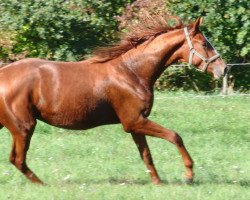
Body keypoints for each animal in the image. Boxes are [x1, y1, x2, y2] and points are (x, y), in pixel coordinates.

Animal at [0, 16, 227, 184]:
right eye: (205, 43)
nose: (224, 69)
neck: (131, 72)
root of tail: (3, 72)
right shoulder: (134, 121)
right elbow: (175, 136)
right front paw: (189, 175)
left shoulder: (136, 124)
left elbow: (146, 155)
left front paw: (158, 183)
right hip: (24, 127)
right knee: (18, 159)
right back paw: (44, 185)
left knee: (14, 159)